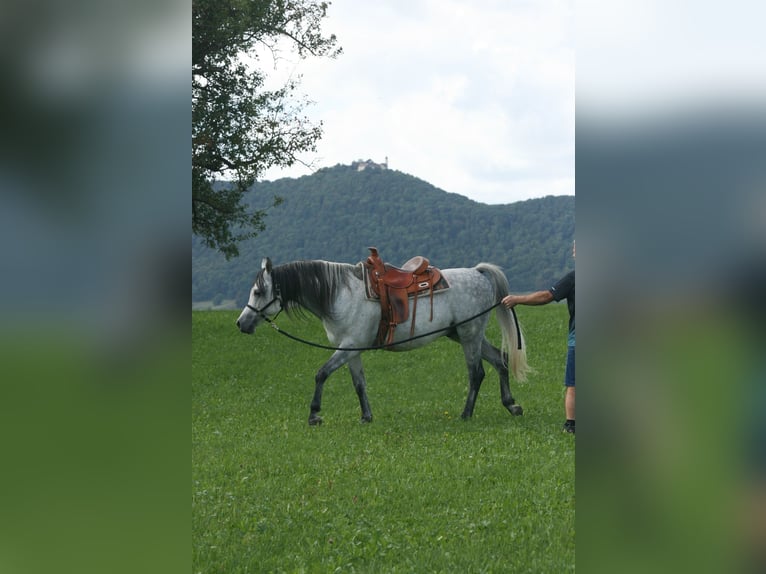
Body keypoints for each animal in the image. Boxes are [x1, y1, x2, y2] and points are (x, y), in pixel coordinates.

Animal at [236, 257, 528, 425]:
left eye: (258, 291)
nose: (242, 323)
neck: (340, 294)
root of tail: (477, 273)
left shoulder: (347, 347)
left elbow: (321, 374)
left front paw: (314, 414)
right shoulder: (352, 350)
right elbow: (359, 384)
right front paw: (366, 416)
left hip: (469, 335)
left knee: (476, 373)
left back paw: (466, 414)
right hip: (462, 335)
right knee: (500, 361)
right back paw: (511, 405)